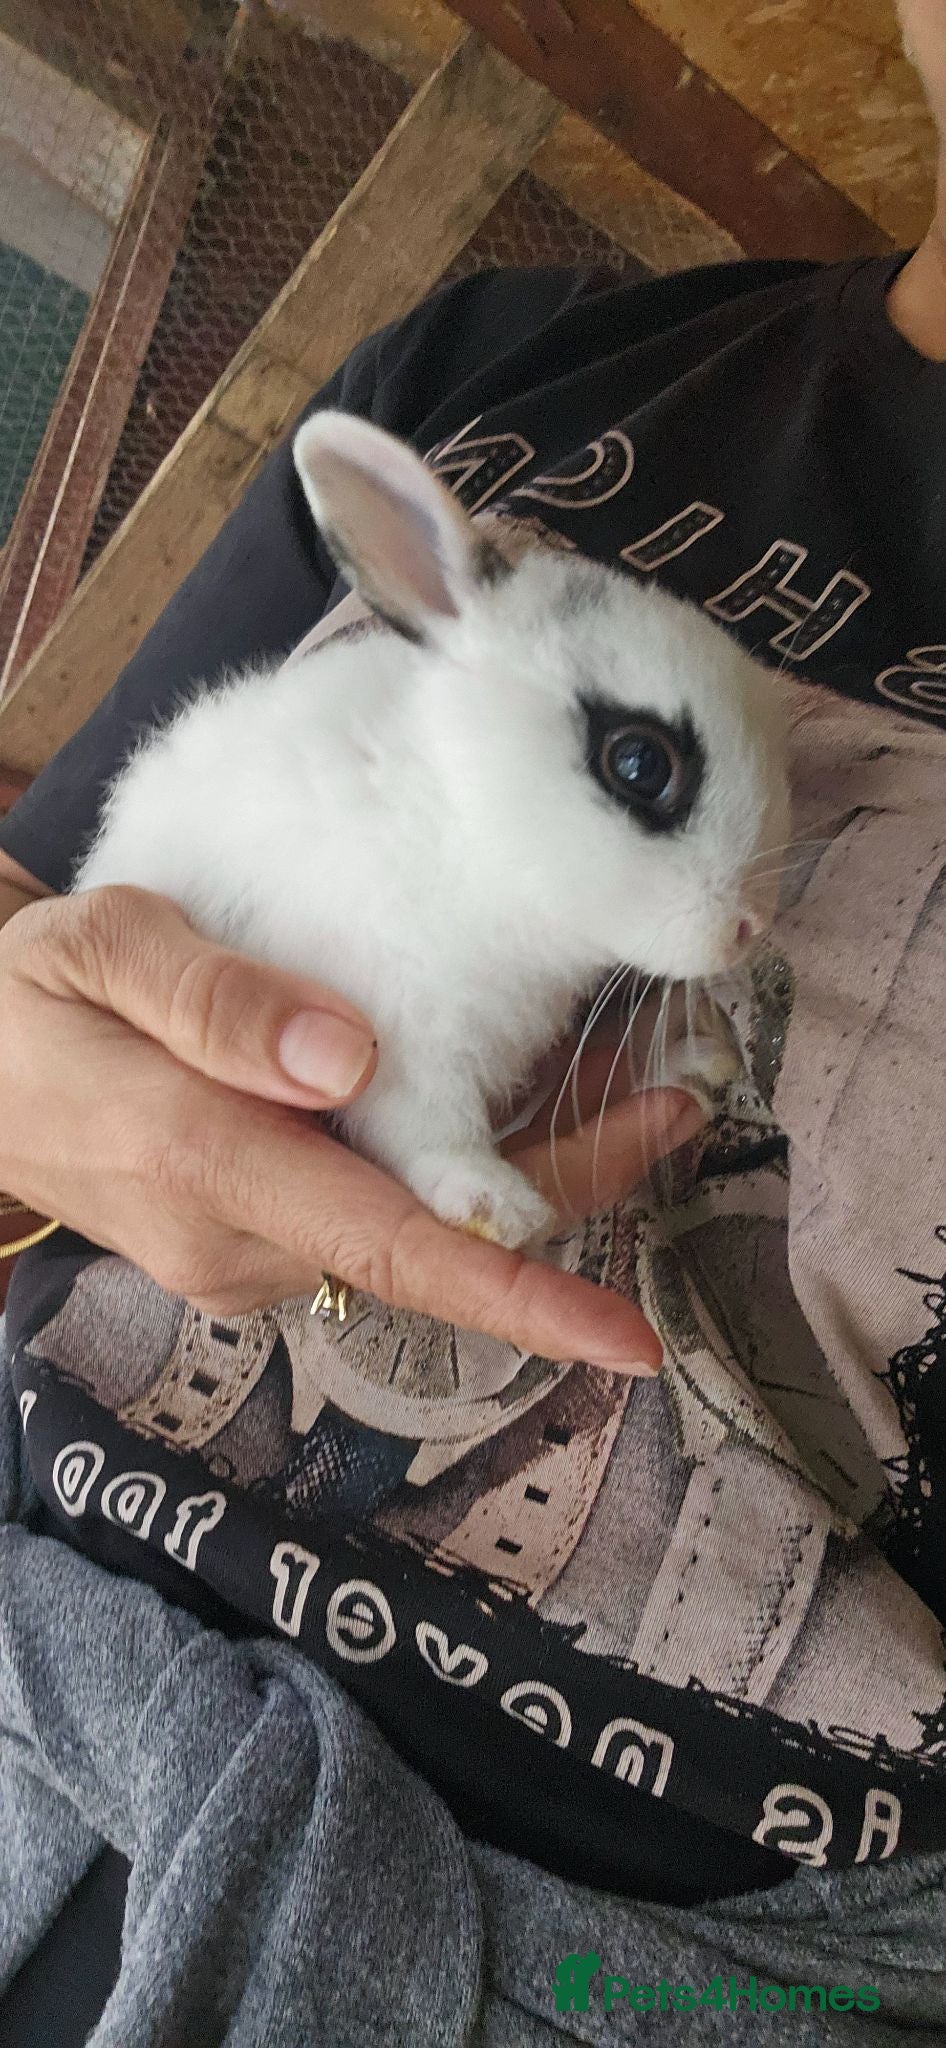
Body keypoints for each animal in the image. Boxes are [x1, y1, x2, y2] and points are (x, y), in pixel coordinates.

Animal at [73, 410, 789, 1251]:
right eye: (641, 762)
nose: (751, 925)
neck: (463, 821)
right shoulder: (398, 1040)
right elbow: (424, 1134)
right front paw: (495, 1208)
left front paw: (691, 1057)